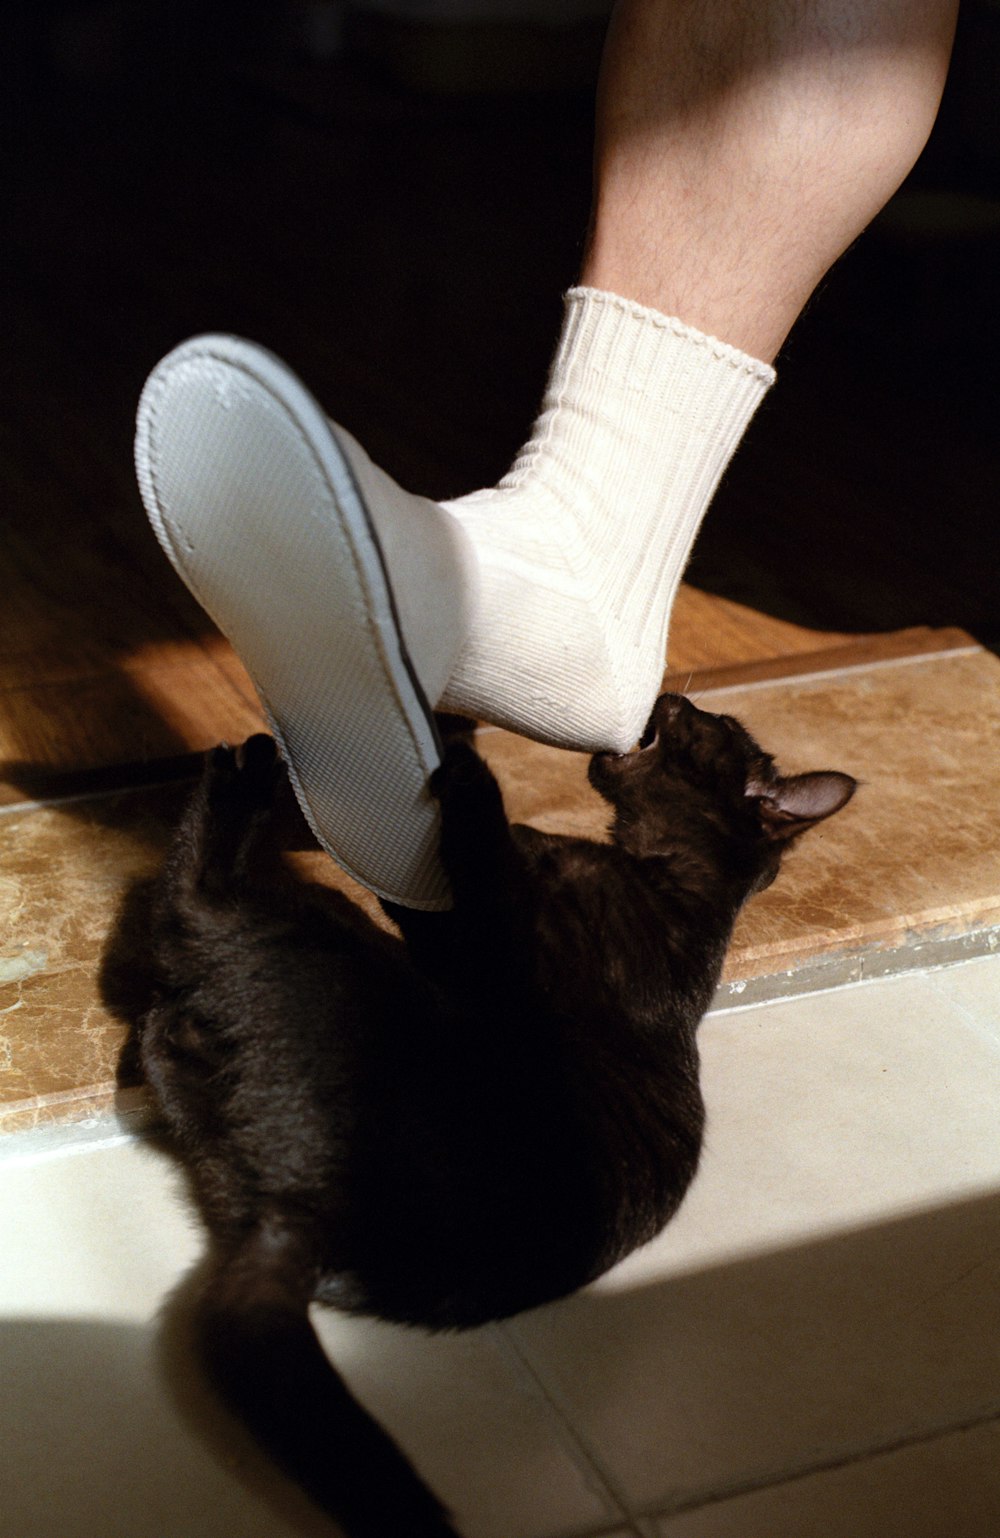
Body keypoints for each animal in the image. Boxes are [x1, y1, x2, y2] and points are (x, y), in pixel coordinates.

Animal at [105, 701, 855, 1538]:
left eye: (710, 721)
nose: (675, 702)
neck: (662, 870)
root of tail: (311, 1213)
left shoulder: (486, 943)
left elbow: (476, 867)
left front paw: (464, 770)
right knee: (172, 1017)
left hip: (315, 931)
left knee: (193, 905)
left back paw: (245, 775)